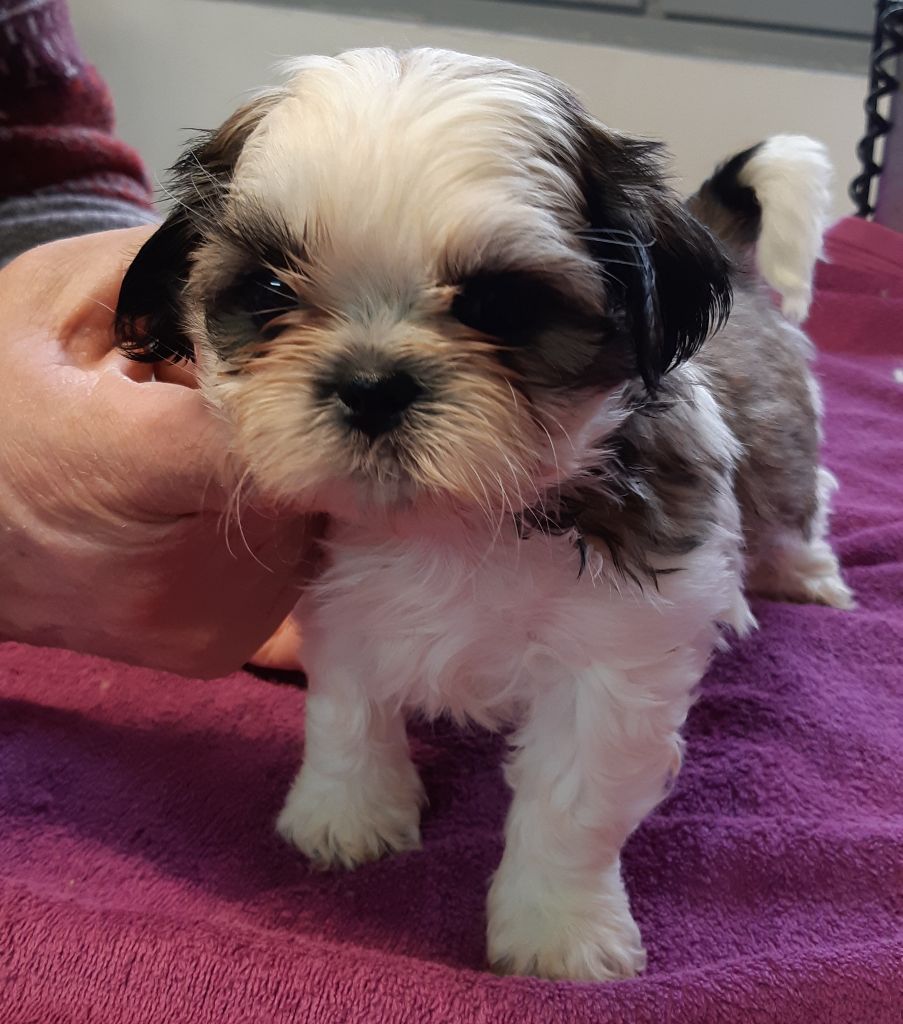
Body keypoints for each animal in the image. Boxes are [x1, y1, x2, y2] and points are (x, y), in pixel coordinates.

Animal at [115, 48, 853, 981]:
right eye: (270, 290)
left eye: (499, 307)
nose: (371, 384)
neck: (452, 520)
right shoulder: (343, 602)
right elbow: (347, 709)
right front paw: (347, 809)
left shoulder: (614, 656)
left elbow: (572, 800)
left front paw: (557, 928)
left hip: (784, 444)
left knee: (798, 497)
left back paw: (804, 576)